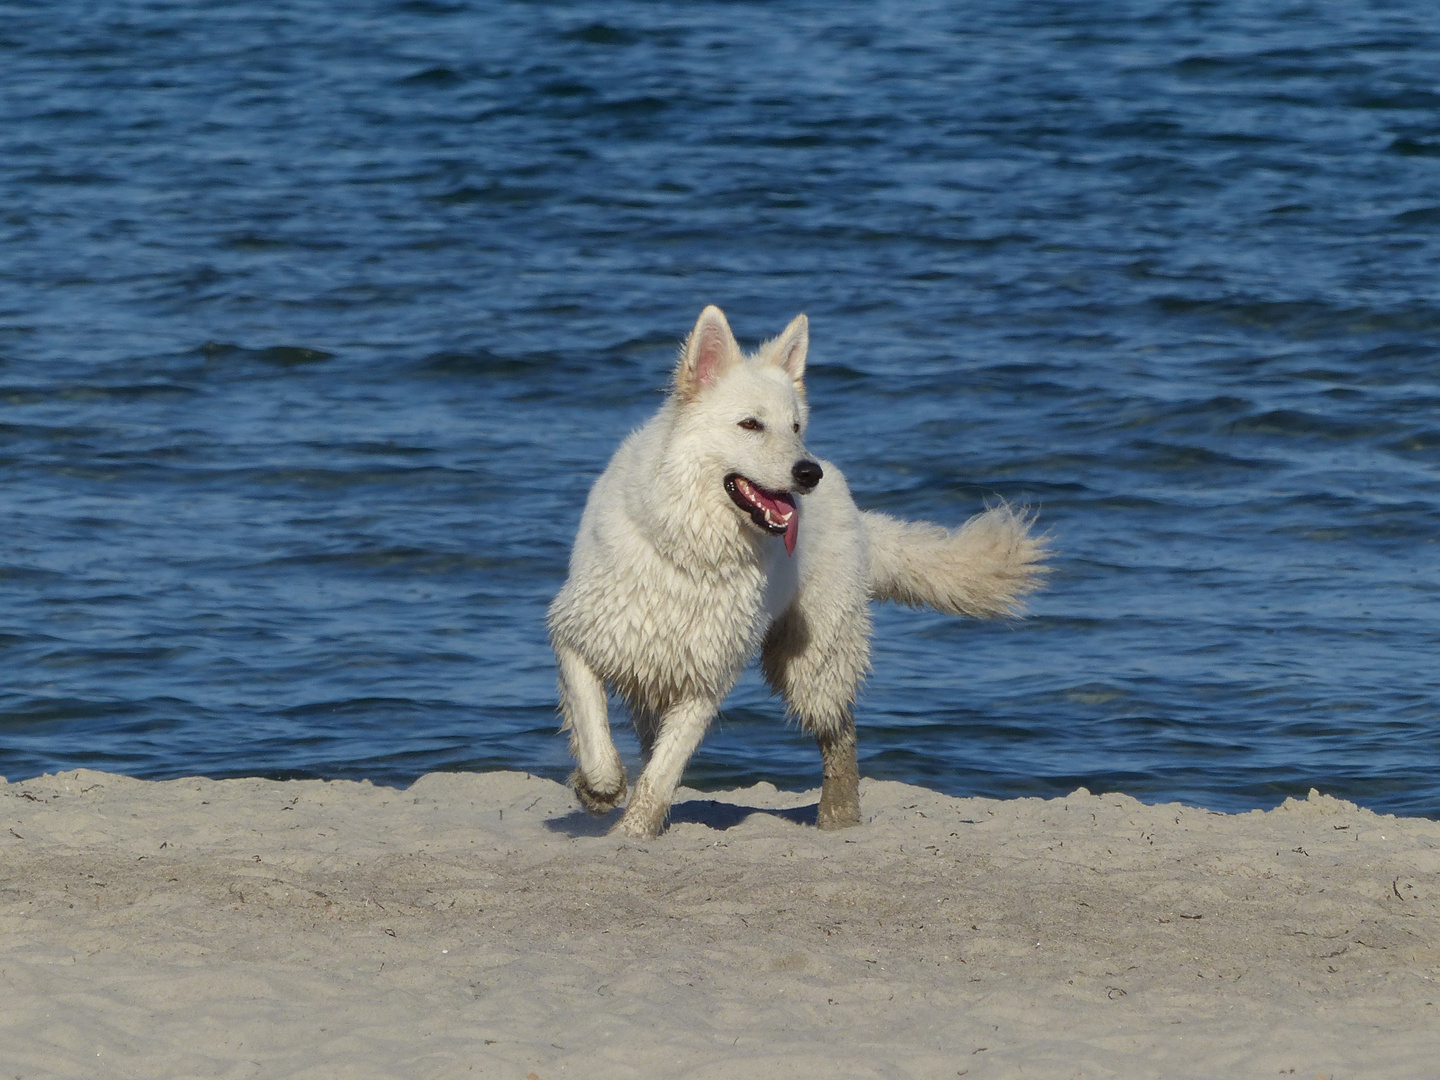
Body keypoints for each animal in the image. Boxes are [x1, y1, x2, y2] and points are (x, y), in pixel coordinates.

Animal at [550, 308, 1048, 840]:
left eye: (794, 426)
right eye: (750, 424)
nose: (809, 473)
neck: (692, 549)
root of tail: (855, 509)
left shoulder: (707, 680)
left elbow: (662, 774)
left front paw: (632, 832)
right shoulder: (581, 635)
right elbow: (594, 728)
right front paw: (599, 789)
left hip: (814, 663)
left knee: (841, 735)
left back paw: (838, 816)